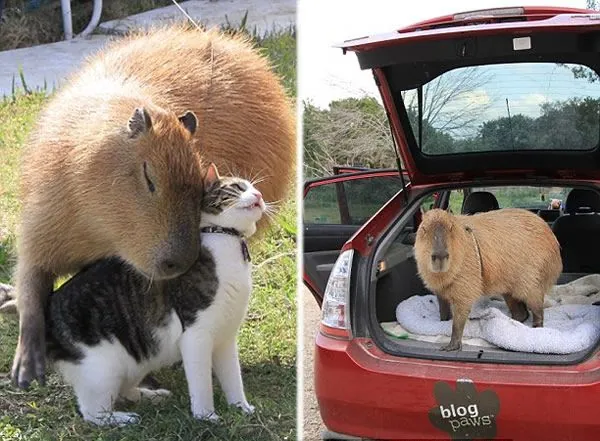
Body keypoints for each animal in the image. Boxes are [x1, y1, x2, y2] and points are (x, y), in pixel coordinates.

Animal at [39, 163, 264, 424]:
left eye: (255, 189)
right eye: (239, 187)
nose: (259, 196)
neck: (226, 240)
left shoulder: (225, 337)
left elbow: (233, 378)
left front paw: (241, 407)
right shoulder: (196, 335)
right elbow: (202, 384)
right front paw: (206, 416)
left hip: (138, 360)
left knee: (124, 390)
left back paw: (149, 395)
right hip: (101, 370)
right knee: (92, 413)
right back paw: (122, 418)